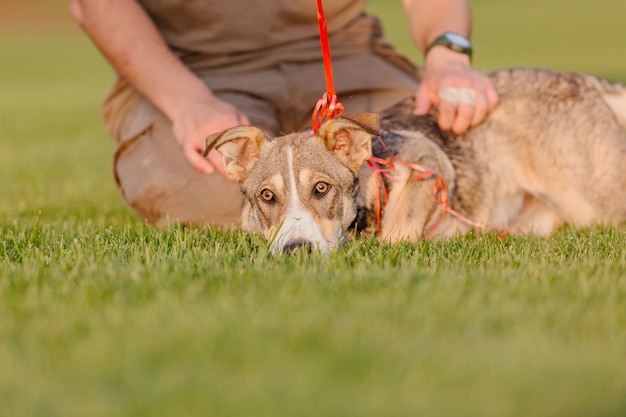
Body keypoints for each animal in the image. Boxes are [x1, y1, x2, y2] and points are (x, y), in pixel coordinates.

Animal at [204, 67, 624, 254]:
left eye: (322, 188)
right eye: (267, 197)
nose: (296, 250)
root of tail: (581, 79)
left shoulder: (430, 163)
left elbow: (400, 229)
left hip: (592, 198)